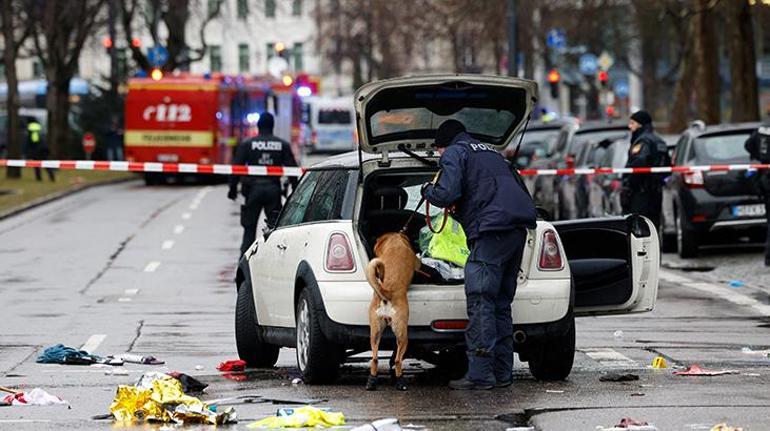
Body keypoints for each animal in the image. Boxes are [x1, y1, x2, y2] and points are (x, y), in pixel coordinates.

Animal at [362, 233, 416, 392]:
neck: (395, 240)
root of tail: (387, 293)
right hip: (402, 335)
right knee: (397, 360)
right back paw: (400, 382)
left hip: (374, 332)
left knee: (374, 359)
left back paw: (371, 382)